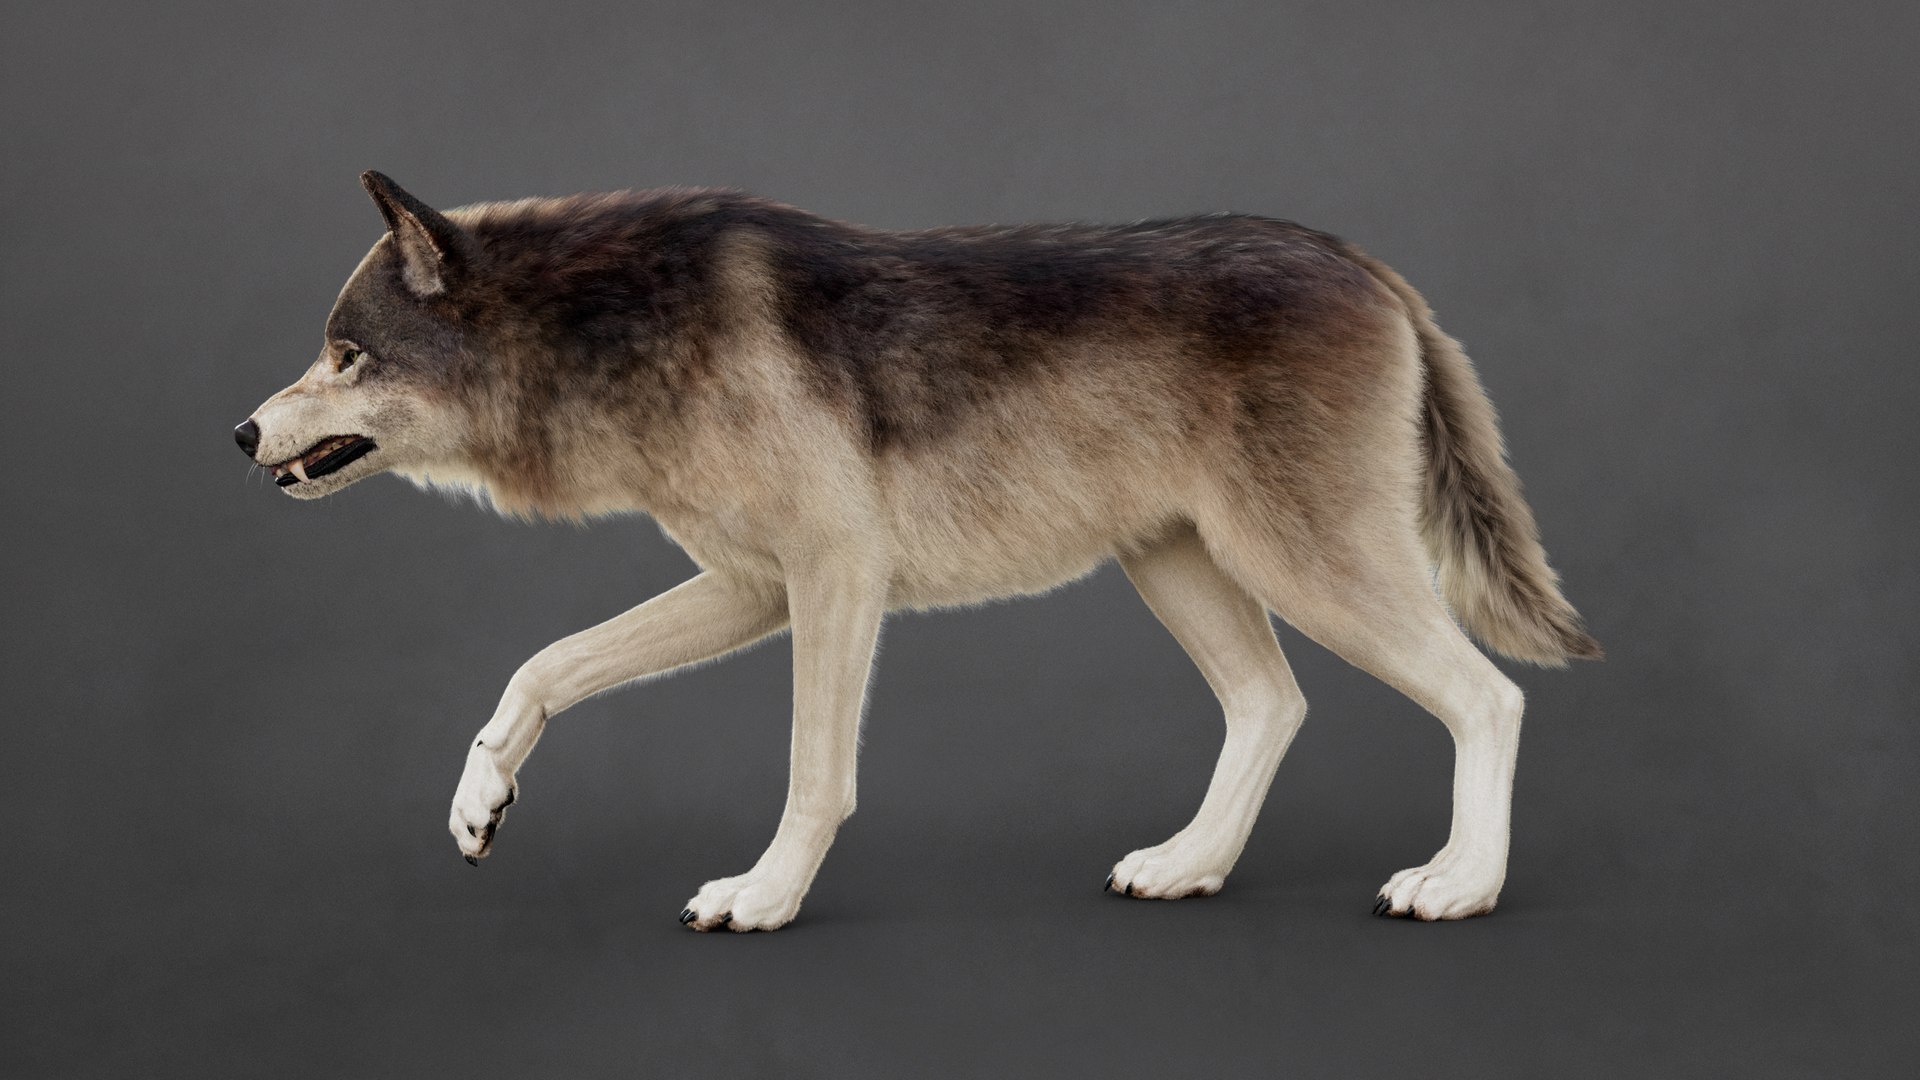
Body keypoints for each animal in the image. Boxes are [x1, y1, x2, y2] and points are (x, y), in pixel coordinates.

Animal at [235, 172, 1598, 930]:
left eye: (345, 354)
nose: (242, 431)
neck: (611, 326)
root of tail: (1363, 261)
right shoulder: (754, 586)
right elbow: (543, 665)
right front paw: (480, 802)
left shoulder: (836, 577)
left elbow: (813, 773)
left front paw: (765, 899)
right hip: (1185, 568)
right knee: (1273, 705)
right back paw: (1189, 867)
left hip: (1306, 567)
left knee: (1489, 698)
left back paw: (1462, 884)